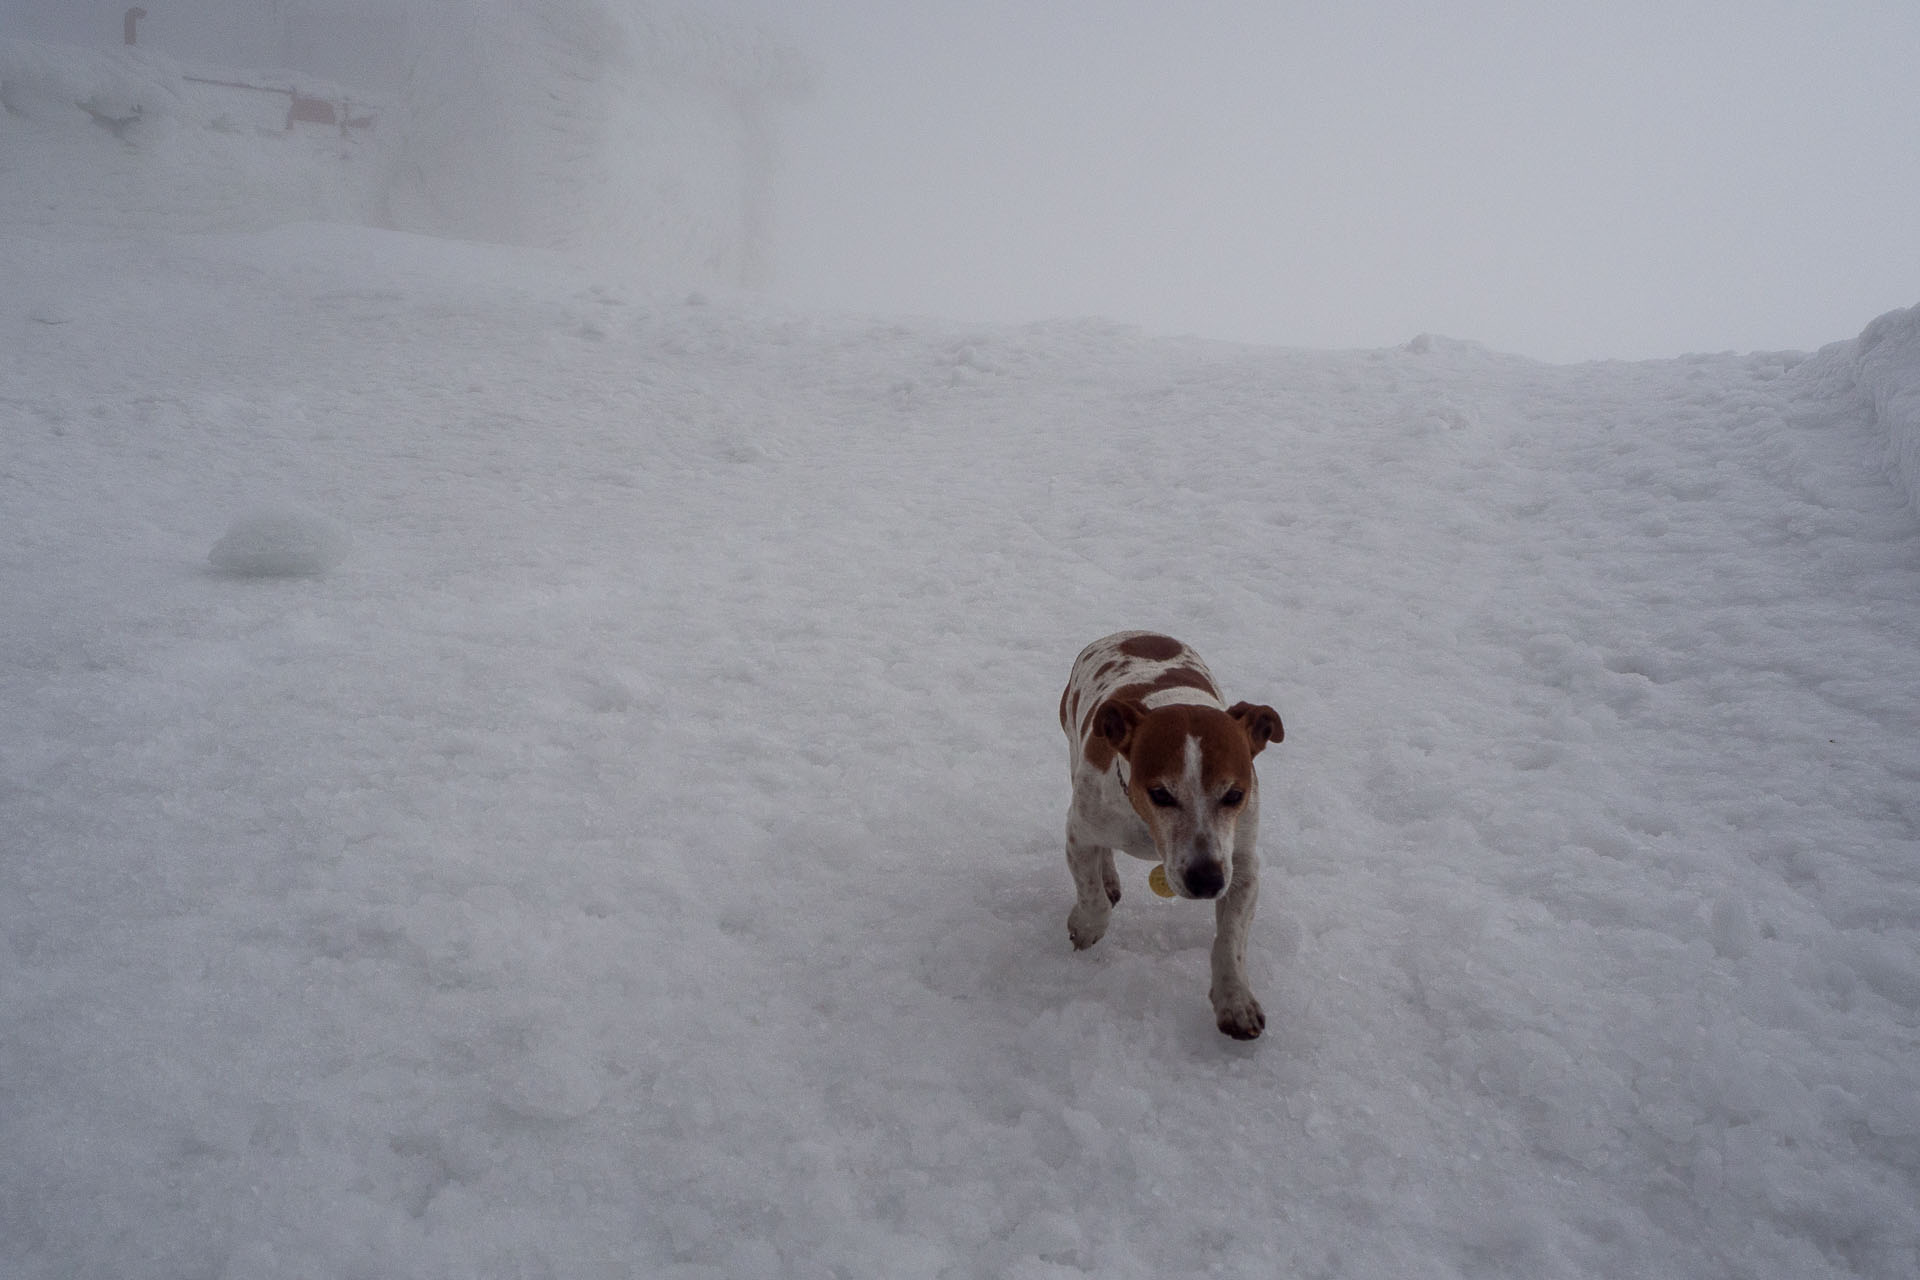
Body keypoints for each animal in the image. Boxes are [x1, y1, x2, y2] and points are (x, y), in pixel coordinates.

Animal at [1059, 629, 1282, 1043]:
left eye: (1234, 794)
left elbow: (1230, 940)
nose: (1206, 880)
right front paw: (1087, 924)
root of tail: (1132, 631)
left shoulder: (1241, 864)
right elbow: (1092, 893)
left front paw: (1235, 1000)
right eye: (1160, 793)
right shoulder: (1079, 831)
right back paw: (1108, 879)